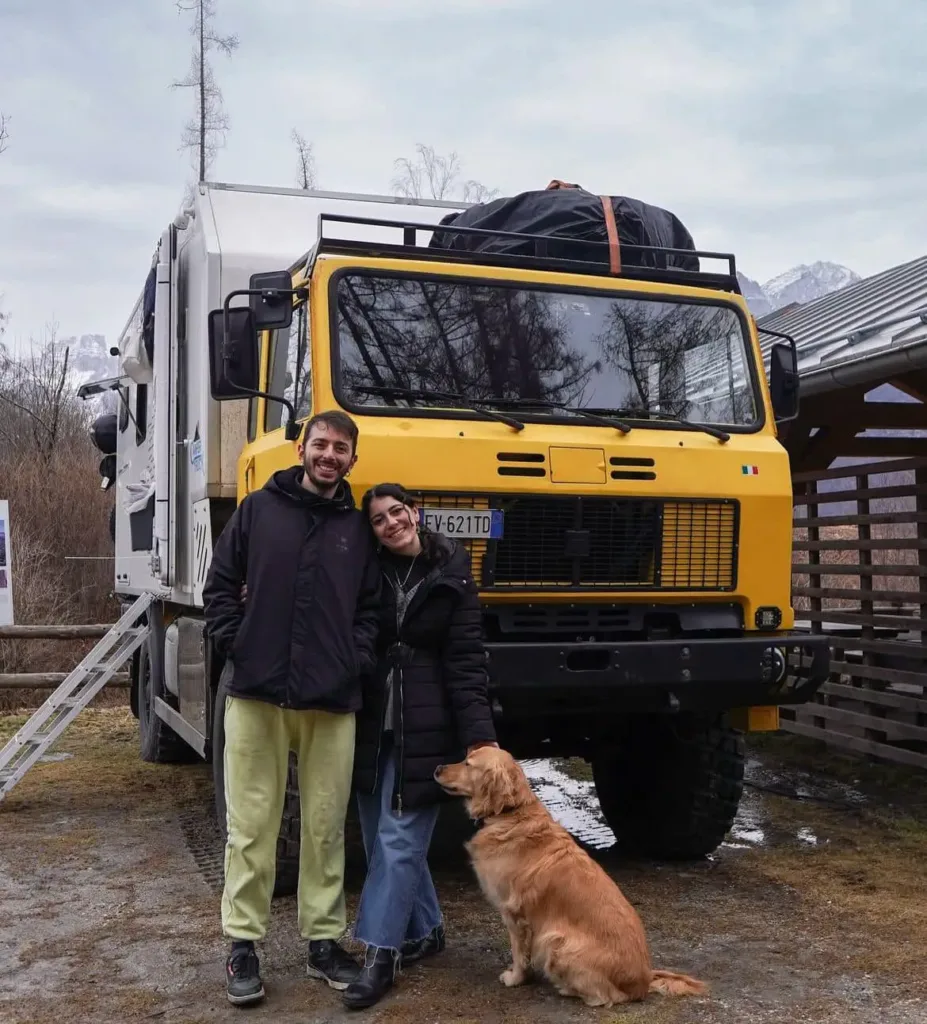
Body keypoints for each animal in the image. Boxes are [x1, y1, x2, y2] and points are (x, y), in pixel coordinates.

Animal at [434, 745, 708, 1007]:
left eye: (468, 763)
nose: (437, 768)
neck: (510, 813)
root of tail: (642, 980)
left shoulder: (514, 914)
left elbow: (519, 954)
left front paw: (514, 978)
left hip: (556, 941)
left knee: (607, 996)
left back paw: (567, 988)